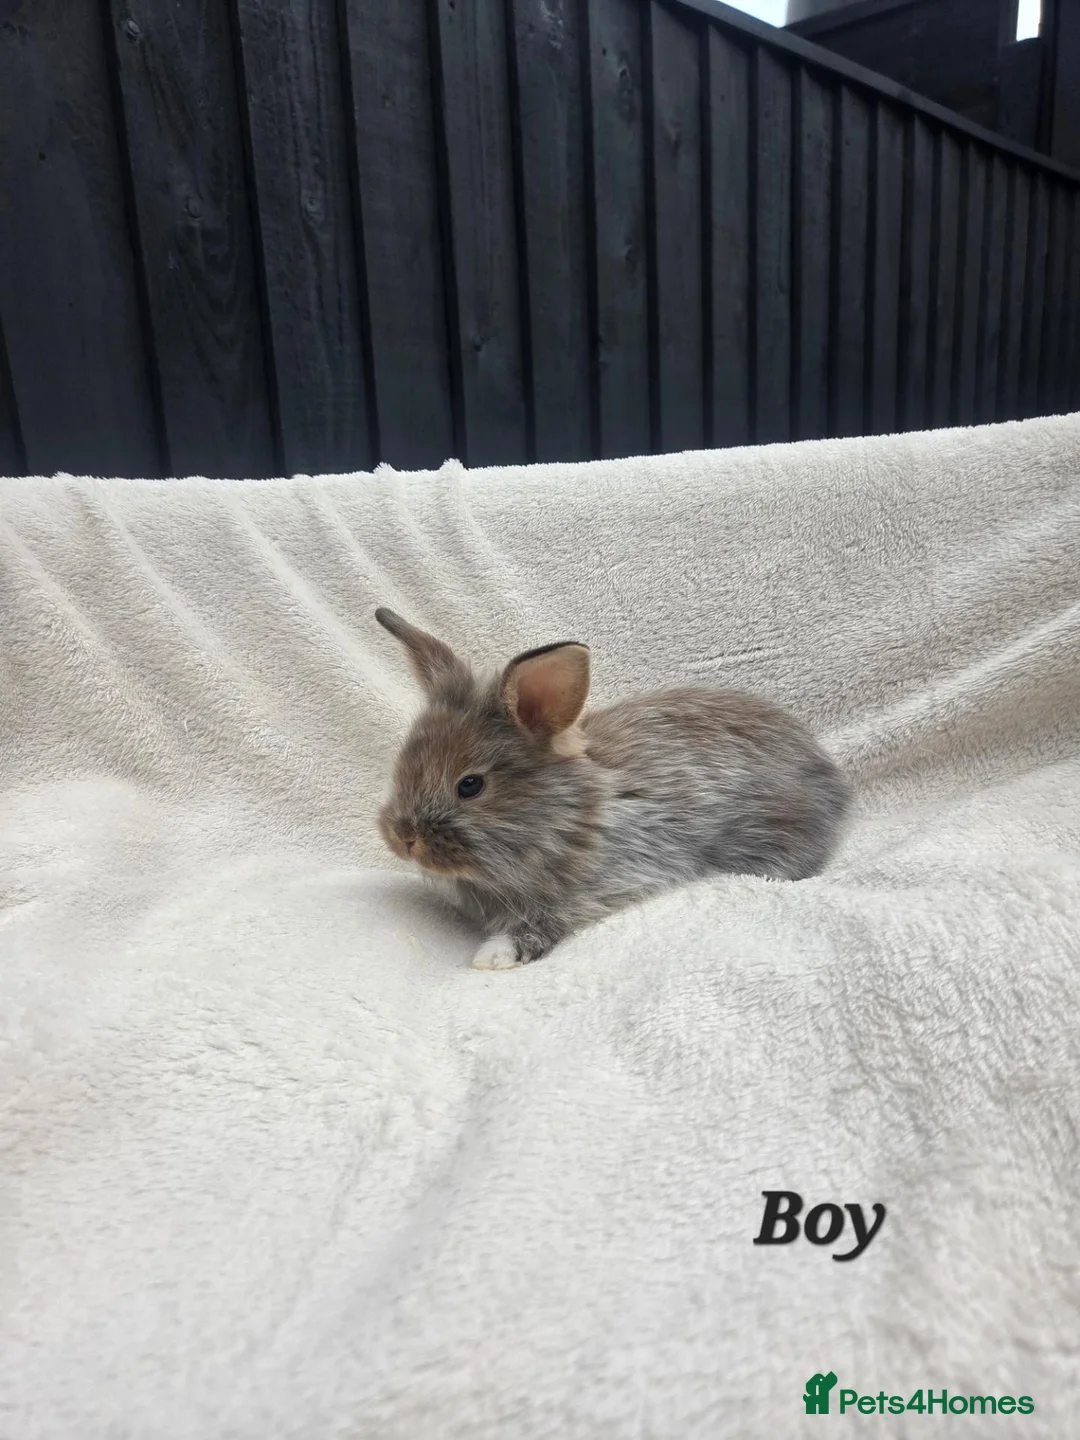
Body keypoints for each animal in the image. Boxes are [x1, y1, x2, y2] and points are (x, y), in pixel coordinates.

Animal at [375, 608, 851, 970]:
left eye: (470, 785)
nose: (404, 839)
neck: (569, 817)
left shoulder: (606, 883)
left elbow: (546, 921)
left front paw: (494, 956)